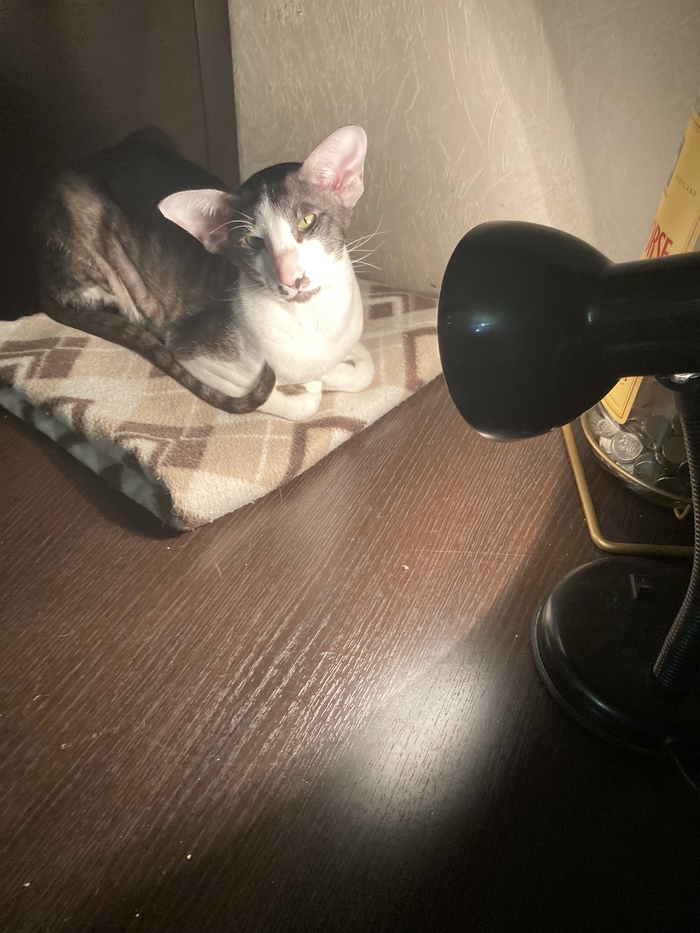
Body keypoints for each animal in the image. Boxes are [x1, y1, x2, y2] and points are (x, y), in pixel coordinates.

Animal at [35, 125, 375, 420]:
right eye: (253, 242)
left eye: (306, 221)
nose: (291, 278)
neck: (314, 321)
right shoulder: (190, 351)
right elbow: (297, 400)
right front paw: (313, 381)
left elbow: (364, 369)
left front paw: (335, 370)